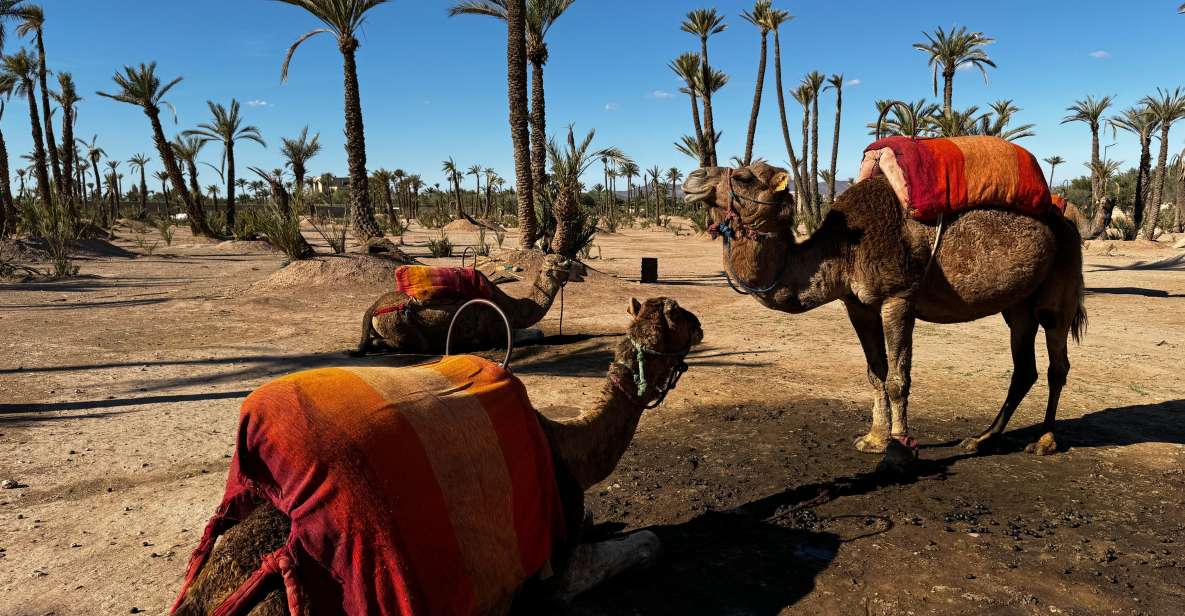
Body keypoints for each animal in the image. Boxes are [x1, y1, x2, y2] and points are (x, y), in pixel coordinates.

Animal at [682, 161, 1085, 469]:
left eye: (744, 177)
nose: (693, 178)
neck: (844, 247)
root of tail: (1067, 220)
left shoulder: (898, 296)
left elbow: (897, 378)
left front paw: (899, 448)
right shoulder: (857, 304)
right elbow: (875, 373)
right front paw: (874, 438)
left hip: (1060, 288)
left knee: (1057, 363)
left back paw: (1045, 441)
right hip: (1017, 305)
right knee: (1024, 368)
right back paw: (981, 439)